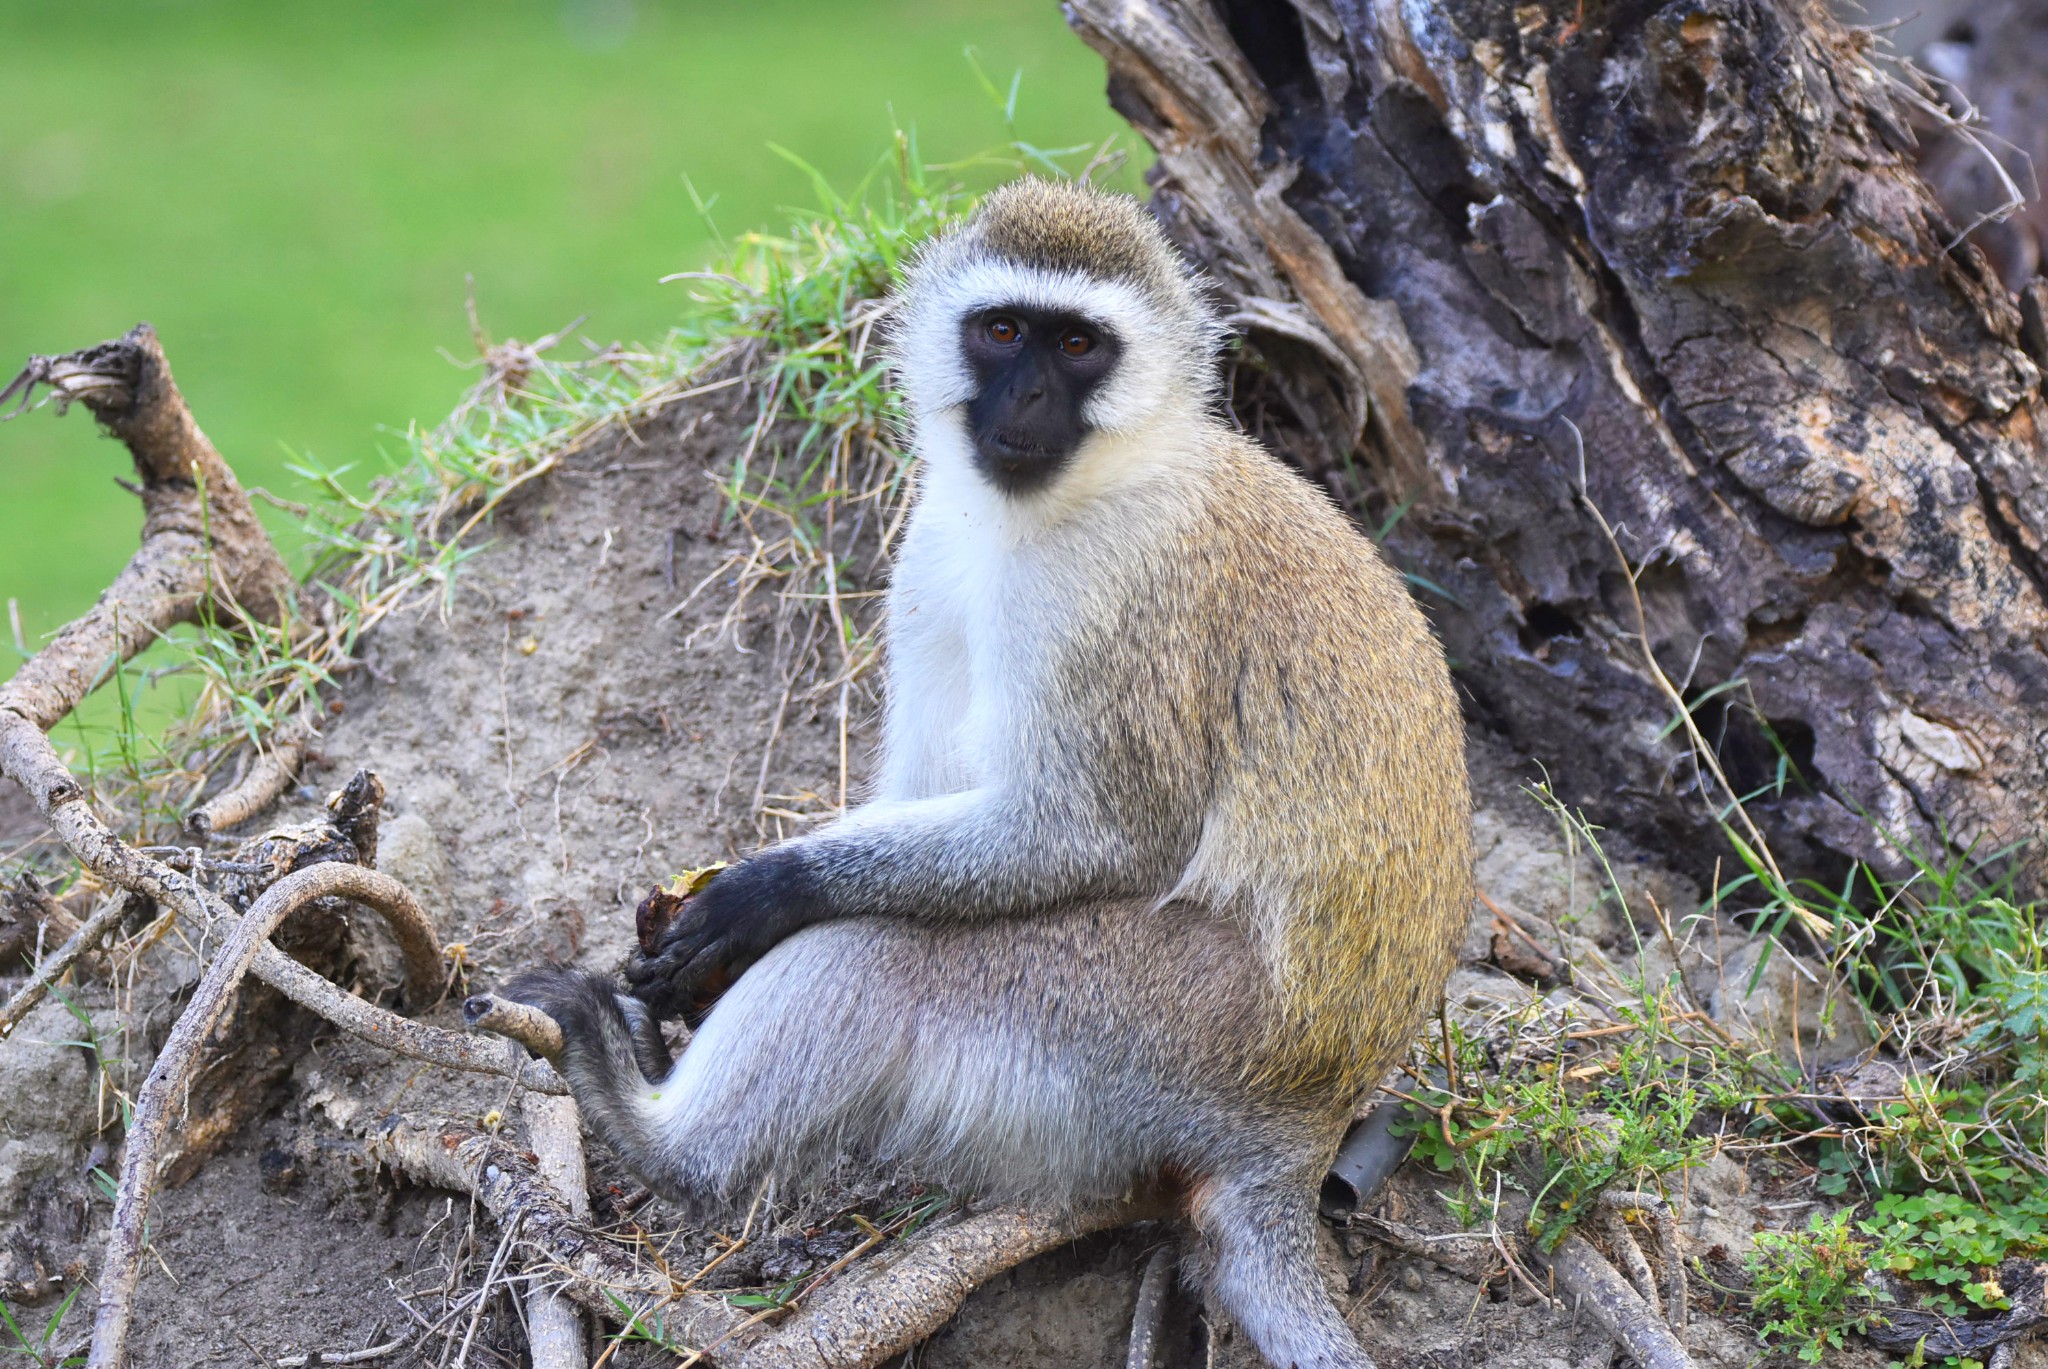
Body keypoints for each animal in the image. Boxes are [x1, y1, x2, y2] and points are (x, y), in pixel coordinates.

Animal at [512, 176, 1474, 1360]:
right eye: (1005, 332)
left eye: (1079, 346)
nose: (1026, 401)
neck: (1065, 497)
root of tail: (1306, 1119)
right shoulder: (930, 549)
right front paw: (694, 946)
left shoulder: (1114, 596)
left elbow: (1092, 835)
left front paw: (761, 893)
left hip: (1171, 1025)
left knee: (882, 948)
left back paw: (659, 1135)